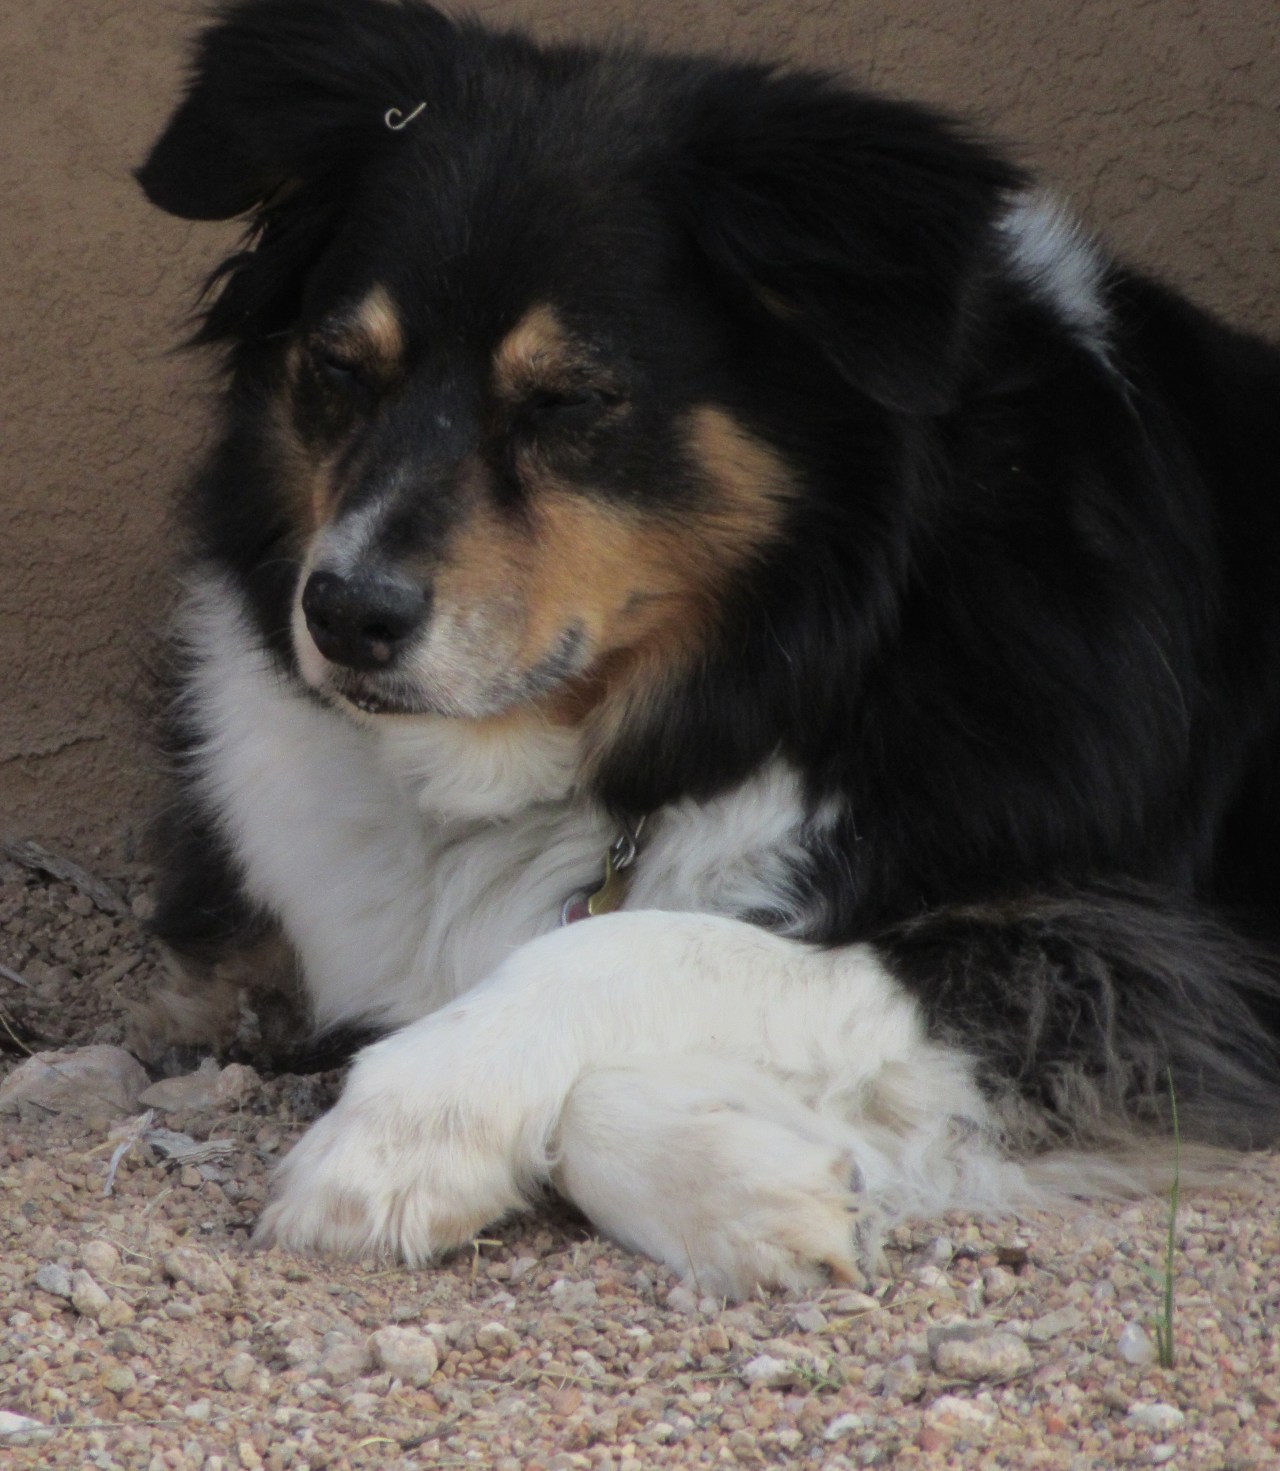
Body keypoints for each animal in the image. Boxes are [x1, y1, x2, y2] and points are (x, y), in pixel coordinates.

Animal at [134, 0, 1280, 1296]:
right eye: (338, 367)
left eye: (569, 400)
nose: (342, 612)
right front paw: (759, 1180)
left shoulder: (1157, 959)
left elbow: (647, 945)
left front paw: (410, 1130)